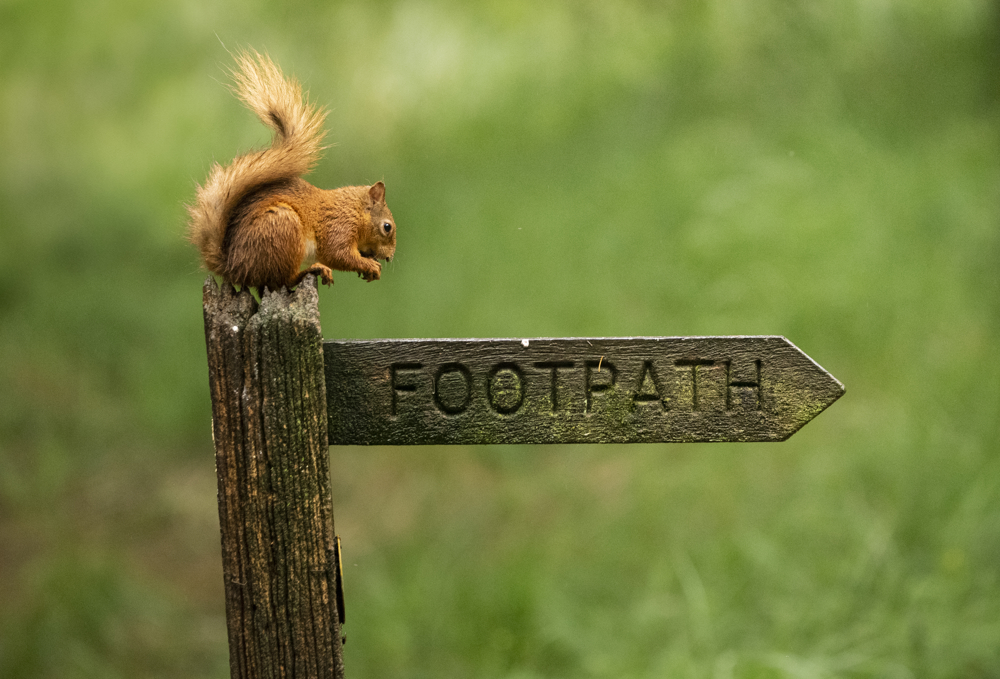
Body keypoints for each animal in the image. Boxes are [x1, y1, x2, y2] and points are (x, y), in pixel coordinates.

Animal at [188, 50, 396, 292]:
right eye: (387, 227)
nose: (389, 258)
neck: (352, 209)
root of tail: (234, 268)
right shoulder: (338, 227)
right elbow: (337, 254)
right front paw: (369, 265)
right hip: (283, 230)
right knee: (282, 280)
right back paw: (312, 269)